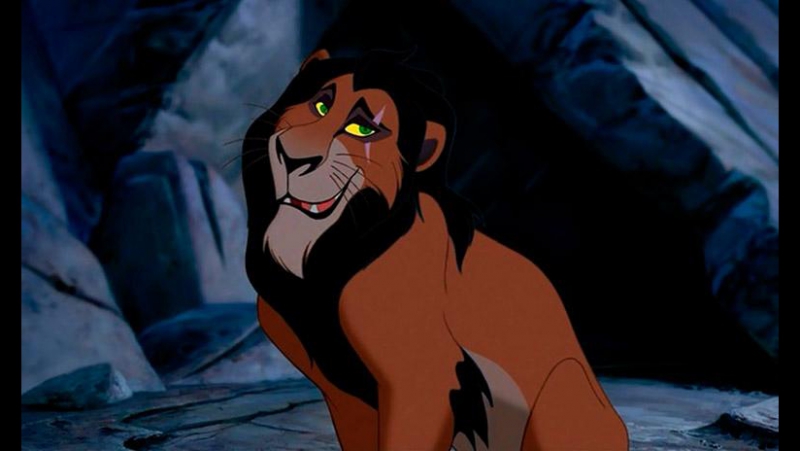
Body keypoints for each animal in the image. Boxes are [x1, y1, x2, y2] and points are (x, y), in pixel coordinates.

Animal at [242, 48, 629, 450]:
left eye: (363, 129)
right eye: (320, 104)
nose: (294, 159)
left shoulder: (423, 376)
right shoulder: (347, 397)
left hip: (565, 386)